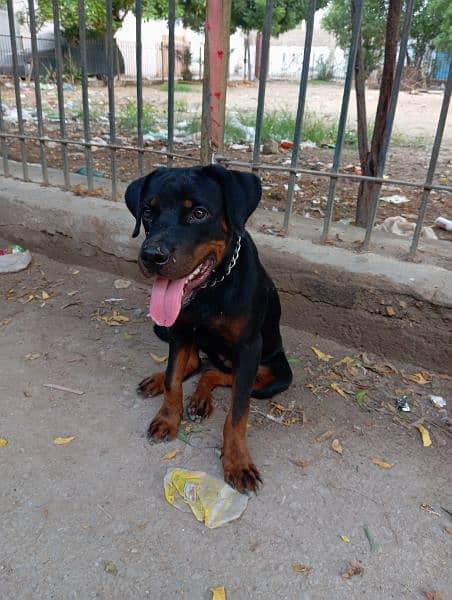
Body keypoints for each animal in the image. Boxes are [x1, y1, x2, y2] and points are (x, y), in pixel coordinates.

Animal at [124, 164, 294, 492]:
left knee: (222, 375)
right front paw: (168, 419)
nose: (152, 256)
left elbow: (238, 411)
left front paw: (237, 461)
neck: (210, 289)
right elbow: (173, 380)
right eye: (148, 211)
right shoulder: (179, 332)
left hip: (276, 375)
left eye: (199, 213)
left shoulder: (249, 347)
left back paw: (202, 399)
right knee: (195, 364)